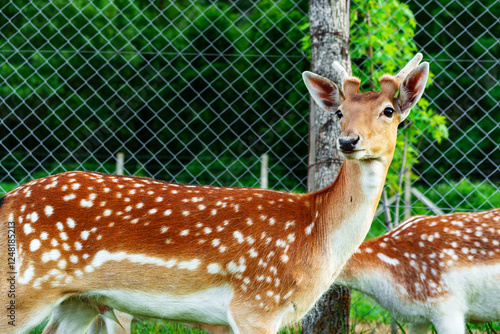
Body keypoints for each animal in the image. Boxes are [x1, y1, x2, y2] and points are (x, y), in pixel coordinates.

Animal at [0, 53, 430, 332]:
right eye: (340, 112)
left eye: (389, 111)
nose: (348, 140)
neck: (315, 233)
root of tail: (9, 199)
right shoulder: (255, 304)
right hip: (26, 287)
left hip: (77, 299)